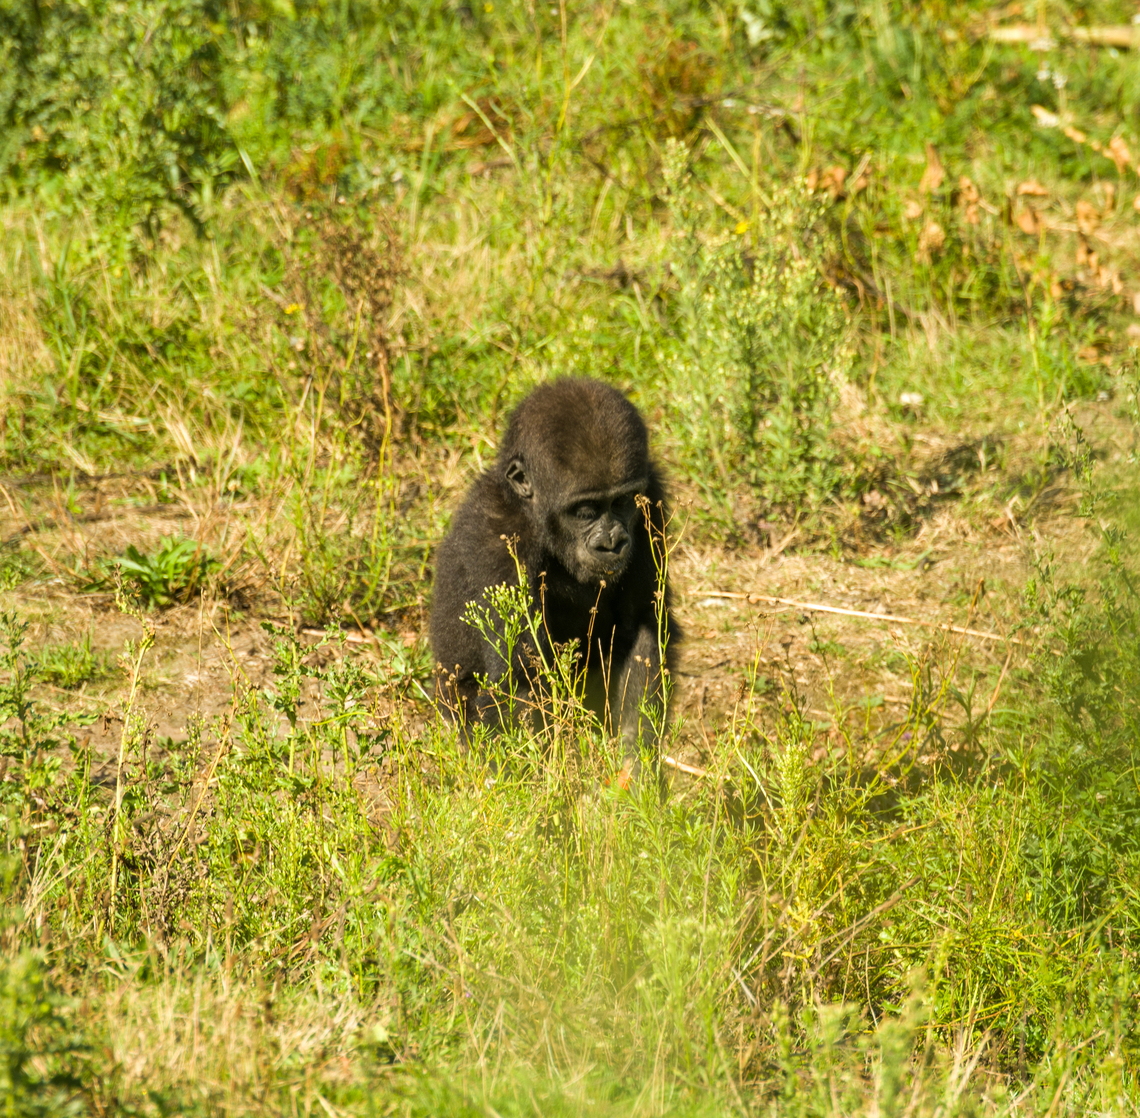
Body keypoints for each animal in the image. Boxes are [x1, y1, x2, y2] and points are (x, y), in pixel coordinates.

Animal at [429, 377, 677, 784]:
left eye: (622, 502)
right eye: (586, 511)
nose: (612, 543)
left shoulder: (651, 500)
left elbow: (642, 622)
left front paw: (633, 765)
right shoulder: (495, 542)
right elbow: (520, 677)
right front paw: (554, 785)